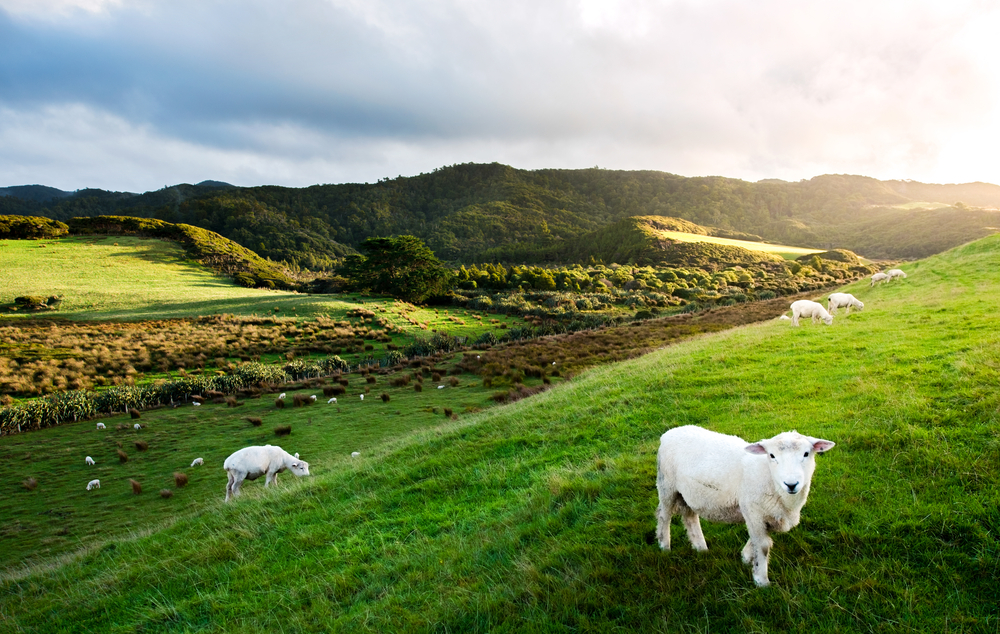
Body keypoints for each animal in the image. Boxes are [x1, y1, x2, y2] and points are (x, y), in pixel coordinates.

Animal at [656, 422, 836, 584]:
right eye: (772, 455)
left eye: (806, 454)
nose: (791, 484)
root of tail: (671, 432)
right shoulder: (752, 510)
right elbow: (763, 545)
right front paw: (761, 581)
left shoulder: (767, 514)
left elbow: (758, 540)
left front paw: (746, 557)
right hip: (666, 486)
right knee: (664, 516)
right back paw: (664, 547)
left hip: (689, 493)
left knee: (690, 517)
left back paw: (701, 548)